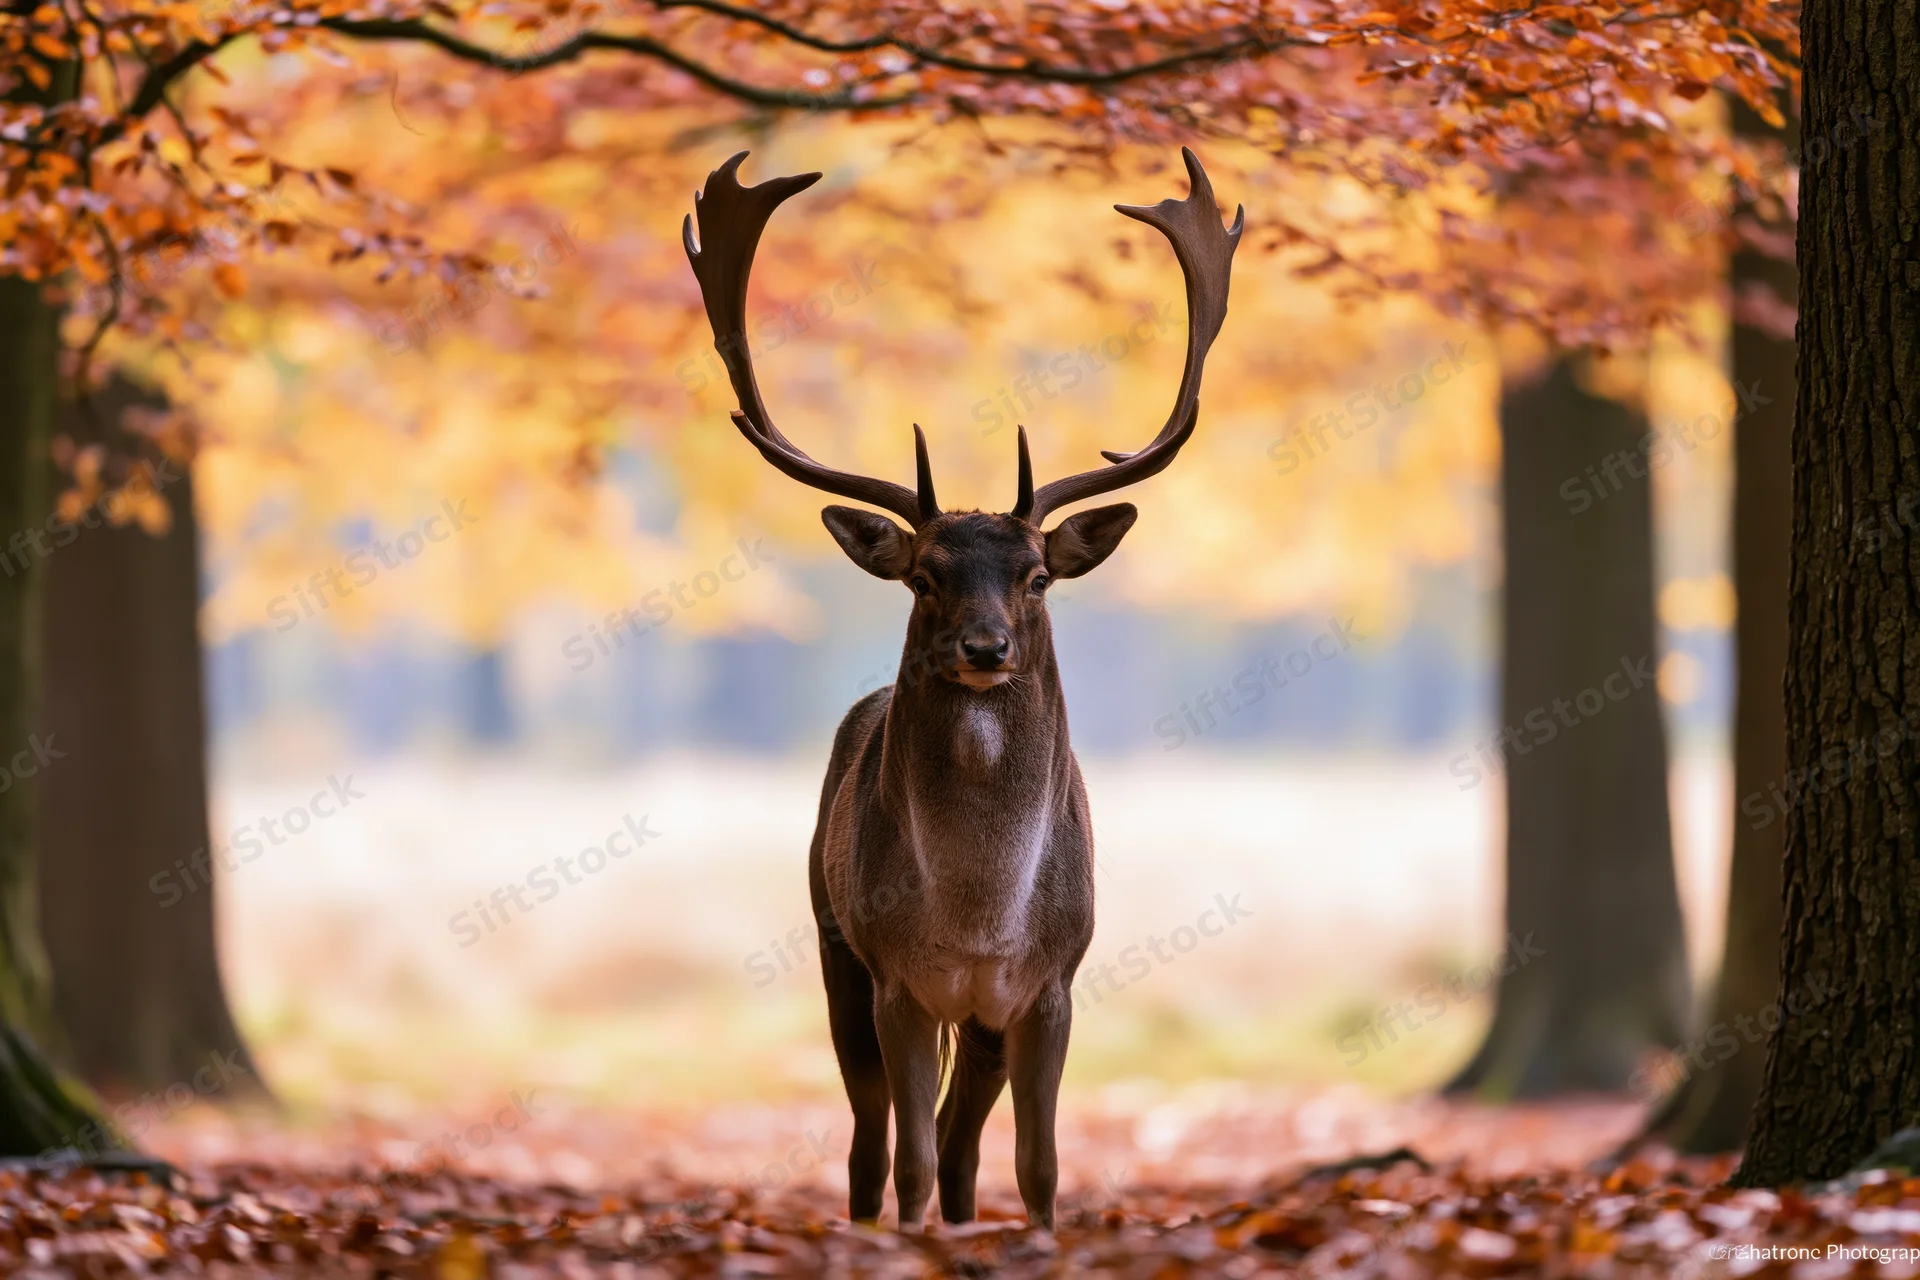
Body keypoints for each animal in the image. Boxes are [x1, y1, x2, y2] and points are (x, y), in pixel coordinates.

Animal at [682, 147, 1240, 1232]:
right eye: (926, 575)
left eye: (1036, 574)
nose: (985, 648)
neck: (979, 915)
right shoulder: (899, 977)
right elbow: (910, 1157)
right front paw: (913, 1232)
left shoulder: (1052, 979)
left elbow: (1036, 1159)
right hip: (836, 946)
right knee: (872, 1138)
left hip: (975, 1016)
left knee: (962, 1136)